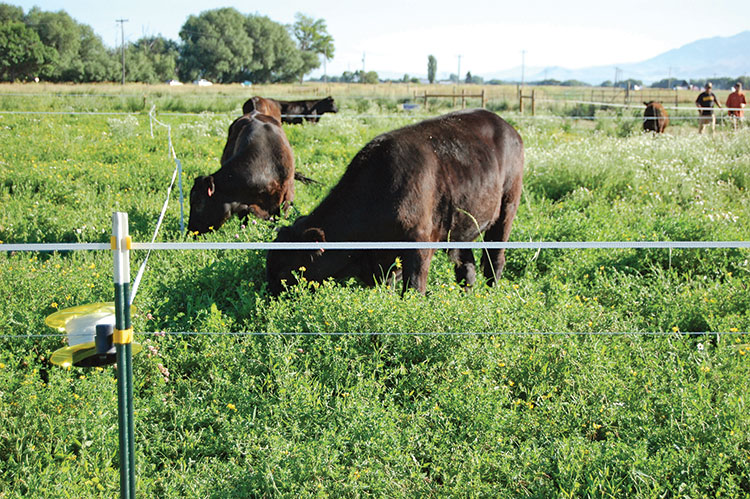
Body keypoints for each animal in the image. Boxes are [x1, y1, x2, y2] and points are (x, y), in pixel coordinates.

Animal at [268, 108, 524, 296]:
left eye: (285, 269)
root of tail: (508, 127)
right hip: (462, 225)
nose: (268, 296)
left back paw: (490, 295)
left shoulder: (419, 247)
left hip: (507, 209)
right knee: (467, 268)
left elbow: (413, 290)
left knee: (494, 259)